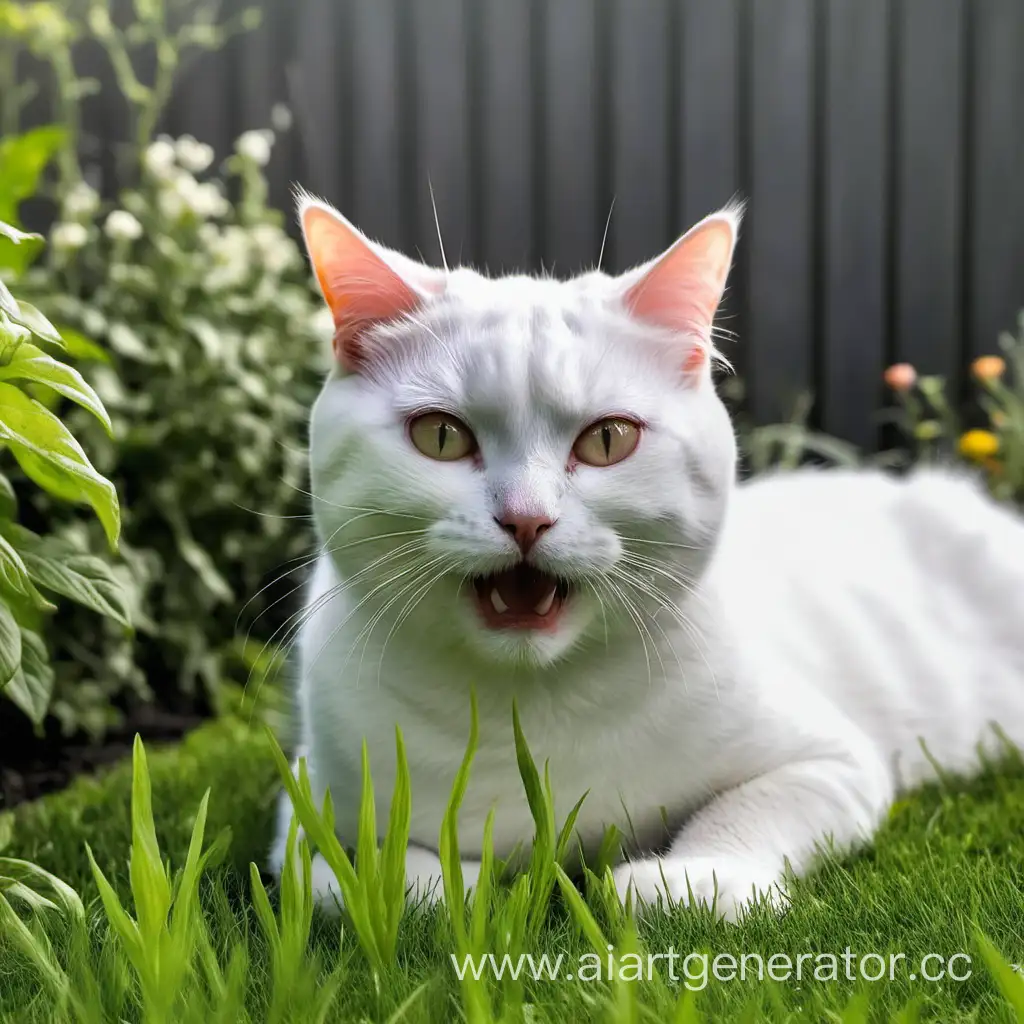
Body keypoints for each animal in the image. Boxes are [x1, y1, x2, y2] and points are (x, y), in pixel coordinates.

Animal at [270, 192, 1024, 921]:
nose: (526, 518)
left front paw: (689, 881)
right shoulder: (306, 805)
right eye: (440, 436)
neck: (531, 711)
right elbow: (357, 875)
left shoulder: (831, 761)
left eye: (608, 439)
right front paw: (445, 885)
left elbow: (750, 808)